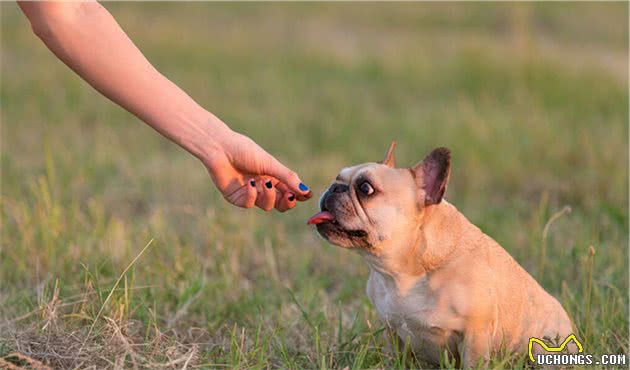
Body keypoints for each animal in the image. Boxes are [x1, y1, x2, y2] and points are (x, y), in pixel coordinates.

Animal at [308, 143, 576, 366]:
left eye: (366, 188)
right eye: (337, 177)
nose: (334, 187)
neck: (404, 271)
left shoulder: (475, 336)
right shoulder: (392, 332)